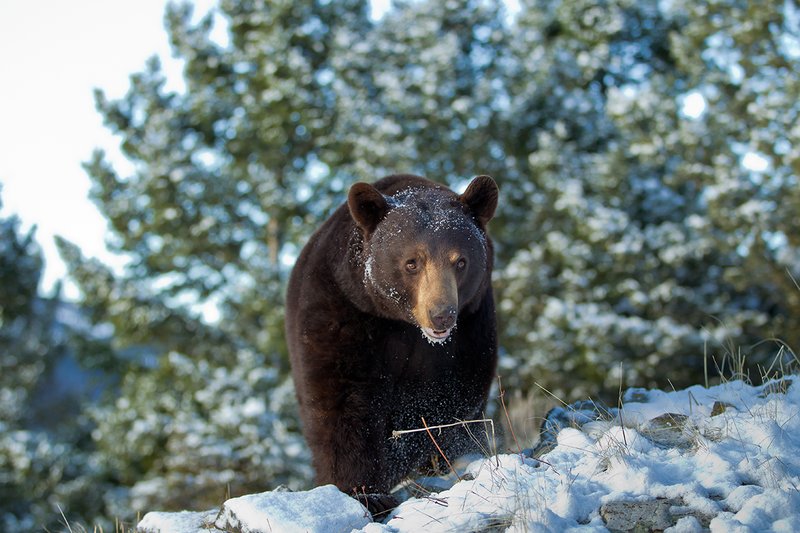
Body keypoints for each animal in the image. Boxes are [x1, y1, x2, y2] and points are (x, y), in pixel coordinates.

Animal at [285, 174, 498, 518]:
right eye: (412, 262)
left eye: (461, 261)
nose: (441, 314)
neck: (404, 324)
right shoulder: (344, 311)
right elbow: (343, 402)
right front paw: (366, 492)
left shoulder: (470, 326)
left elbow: (455, 397)